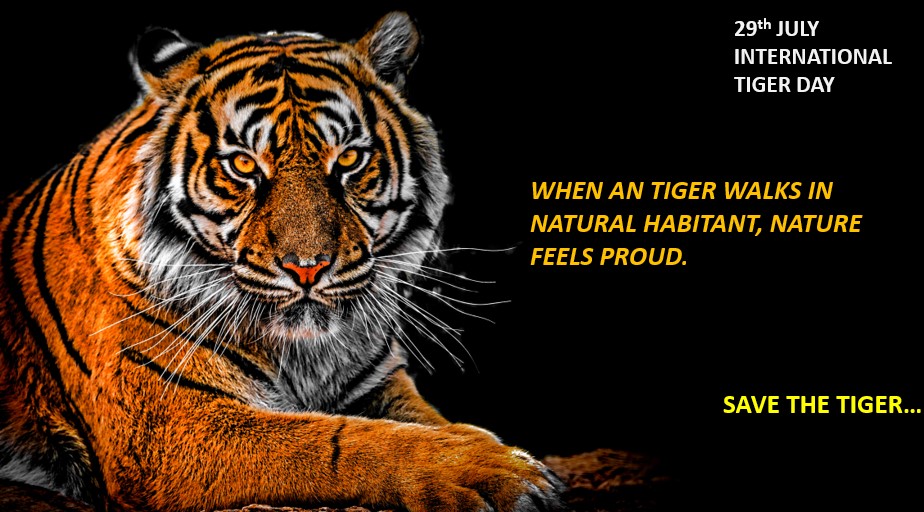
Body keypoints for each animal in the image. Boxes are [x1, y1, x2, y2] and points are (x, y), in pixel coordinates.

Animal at [0, 12, 565, 512]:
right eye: (243, 164)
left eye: (349, 159)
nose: (307, 267)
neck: (305, 355)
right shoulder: (169, 427)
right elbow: (340, 441)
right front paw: (497, 471)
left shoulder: (379, 384)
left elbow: (426, 421)